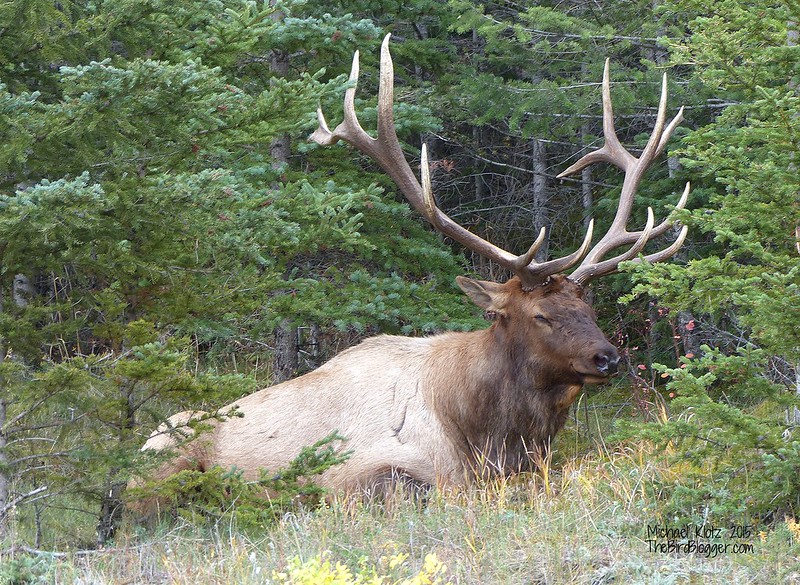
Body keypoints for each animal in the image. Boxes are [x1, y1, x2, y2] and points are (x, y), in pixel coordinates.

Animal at [134, 36, 692, 500]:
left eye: (589, 309)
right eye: (540, 315)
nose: (607, 358)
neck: (485, 432)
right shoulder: (357, 473)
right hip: (163, 464)